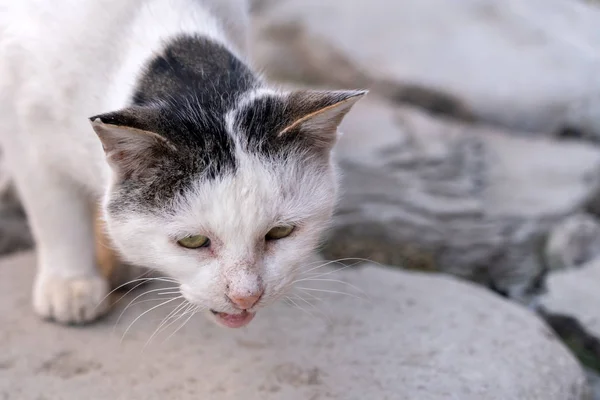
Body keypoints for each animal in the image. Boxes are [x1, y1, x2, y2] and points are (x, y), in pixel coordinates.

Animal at [0, 0, 366, 326]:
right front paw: (70, 282)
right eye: (192, 241)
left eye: (280, 232)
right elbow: (55, 212)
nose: (245, 296)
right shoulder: (25, 130)